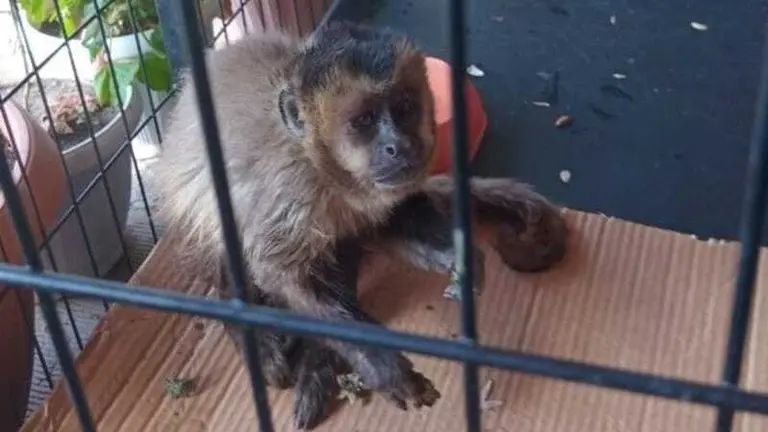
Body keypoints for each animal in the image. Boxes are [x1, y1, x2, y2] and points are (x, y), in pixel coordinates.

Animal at [155, 21, 568, 430]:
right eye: (365, 121)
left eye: (404, 109)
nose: (399, 145)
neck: (323, 169)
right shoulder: (289, 189)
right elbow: (279, 272)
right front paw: (379, 364)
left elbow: (387, 221)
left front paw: (457, 259)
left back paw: (318, 363)